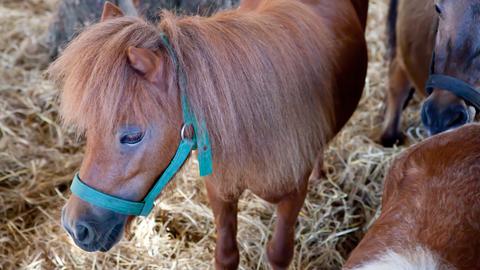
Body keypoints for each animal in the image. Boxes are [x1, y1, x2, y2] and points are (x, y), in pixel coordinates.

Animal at [48, 1, 368, 268]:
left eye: (133, 136)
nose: (74, 227)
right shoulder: (219, 189)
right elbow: (226, 255)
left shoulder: (292, 198)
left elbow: (278, 254)